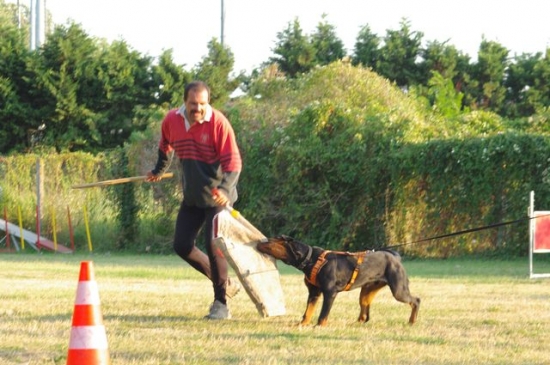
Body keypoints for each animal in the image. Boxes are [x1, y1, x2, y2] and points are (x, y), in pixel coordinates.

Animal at [256, 235, 420, 326]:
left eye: (269, 241)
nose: (258, 241)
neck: (311, 259)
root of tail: (396, 257)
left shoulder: (330, 292)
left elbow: (323, 314)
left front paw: (319, 327)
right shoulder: (314, 293)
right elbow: (307, 312)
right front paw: (301, 325)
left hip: (398, 289)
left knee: (416, 300)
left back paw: (412, 321)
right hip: (367, 290)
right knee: (364, 311)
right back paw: (356, 323)